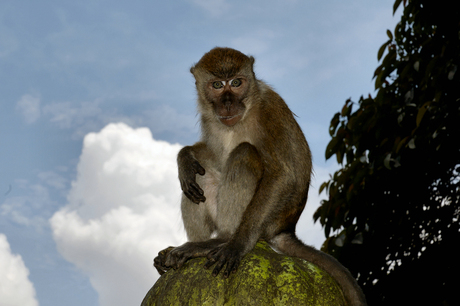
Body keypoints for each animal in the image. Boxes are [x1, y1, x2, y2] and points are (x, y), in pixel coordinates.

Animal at [155, 47, 366, 306]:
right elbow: (213, 156)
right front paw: (185, 158)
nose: (228, 103)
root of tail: (285, 227)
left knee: (245, 153)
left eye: (236, 83)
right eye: (217, 85)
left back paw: (221, 239)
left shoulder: (269, 109)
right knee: (198, 177)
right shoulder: (210, 117)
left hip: (268, 220)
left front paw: (237, 244)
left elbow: (284, 175)